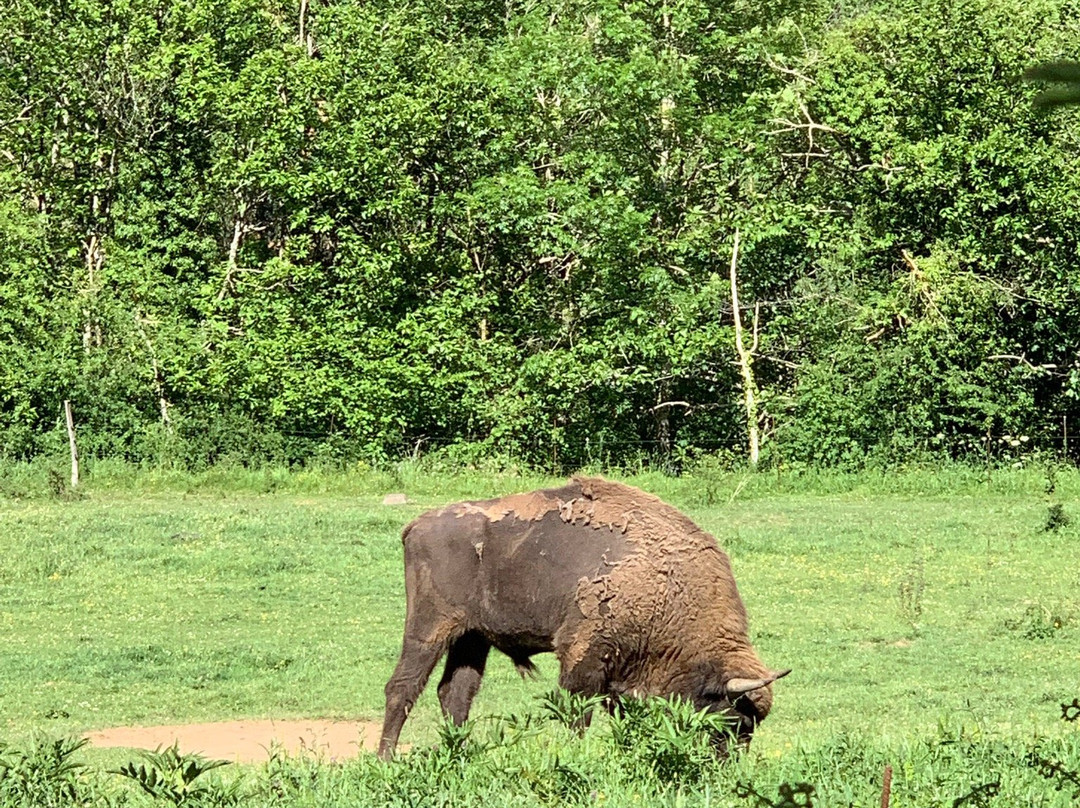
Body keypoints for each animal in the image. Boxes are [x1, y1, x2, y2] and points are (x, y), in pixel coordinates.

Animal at [375, 473, 790, 756]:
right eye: (731, 718)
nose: (724, 763)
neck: (669, 584)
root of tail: (416, 525)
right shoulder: (583, 655)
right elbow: (578, 712)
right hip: (430, 627)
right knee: (403, 687)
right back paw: (386, 758)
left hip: (472, 638)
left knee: (455, 693)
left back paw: (459, 754)